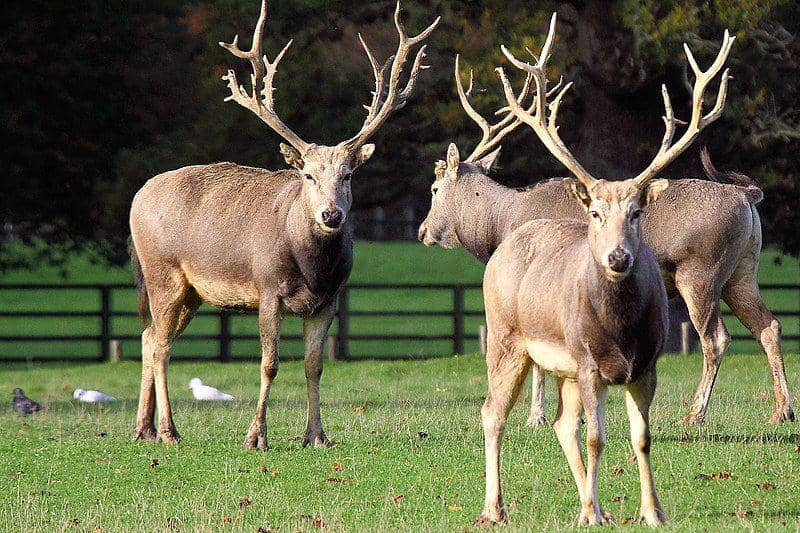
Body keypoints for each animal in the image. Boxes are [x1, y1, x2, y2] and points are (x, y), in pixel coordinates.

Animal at [128, 0, 439, 449]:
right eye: (308, 174)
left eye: (348, 174)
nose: (331, 215)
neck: (312, 268)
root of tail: (137, 198)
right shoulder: (267, 288)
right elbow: (270, 363)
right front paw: (256, 436)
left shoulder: (329, 299)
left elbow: (314, 365)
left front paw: (316, 435)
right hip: (161, 273)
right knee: (160, 346)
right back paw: (169, 431)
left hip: (192, 291)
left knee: (150, 336)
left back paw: (144, 428)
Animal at [419, 28, 793, 429]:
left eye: (434, 189)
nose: (423, 230)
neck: (500, 225)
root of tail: (747, 195)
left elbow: (538, 362)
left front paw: (537, 417)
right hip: (742, 271)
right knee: (769, 326)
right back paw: (782, 410)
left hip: (701, 272)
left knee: (716, 338)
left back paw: (695, 413)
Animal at [475, 14, 735, 526]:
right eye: (595, 213)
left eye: (636, 212)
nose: (618, 258)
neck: (619, 330)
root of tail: (504, 246)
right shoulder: (589, 362)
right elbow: (597, 437)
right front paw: (592, 515)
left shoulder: (644, 365)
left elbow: (641, 438)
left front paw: (651, 512)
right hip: (507, 337)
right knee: (493, 413)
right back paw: (496, 509)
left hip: (563, 367)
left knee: (561, 425)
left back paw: (590, 504)